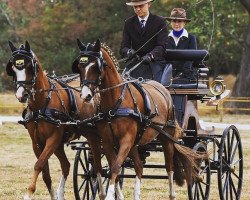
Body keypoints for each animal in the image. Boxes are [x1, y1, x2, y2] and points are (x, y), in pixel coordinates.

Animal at [5, 41, 105, 199]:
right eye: (13, 68)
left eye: (29, 67)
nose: (22, 95)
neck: (42, 104)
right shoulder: (37, 143)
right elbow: (45, 172)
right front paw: (53, 195)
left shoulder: (53, 138)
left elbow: (39, 164)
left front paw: (29, 193)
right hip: (60, 145)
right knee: (67, 165)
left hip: (92, 136)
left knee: (98, 164)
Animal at [72, 38, 205, 199]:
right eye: (80, 66)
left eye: (96, 67)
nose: (85, 95)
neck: (116, 101)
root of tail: (164, 89)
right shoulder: (109, 141)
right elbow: (113, 167)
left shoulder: (126, 140)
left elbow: (115, 167)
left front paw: (110, 195)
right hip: (136, 143)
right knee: (139, 166)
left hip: (166, 137)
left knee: (169, 166)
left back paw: (172, 194)